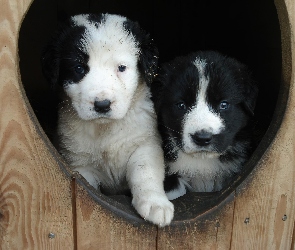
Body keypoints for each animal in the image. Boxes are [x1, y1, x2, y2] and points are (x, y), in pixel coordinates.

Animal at [42, 12, 175, 226]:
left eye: (121, 68)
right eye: (79, 68)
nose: (102, 105)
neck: (105, 129)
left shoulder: (144, 143)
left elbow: (145, 172)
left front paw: (156, 204)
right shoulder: (79, 163)